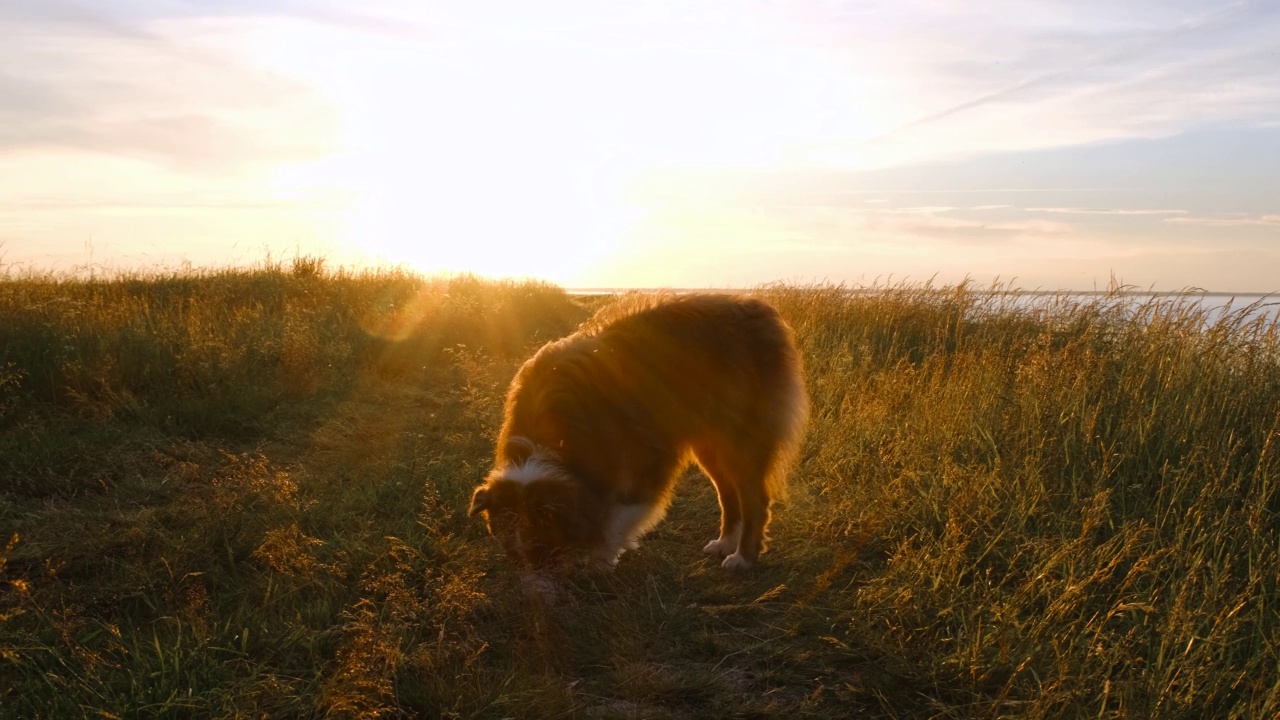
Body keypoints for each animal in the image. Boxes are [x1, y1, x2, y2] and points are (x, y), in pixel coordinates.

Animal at [471, 292, 808, 576]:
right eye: (510, 550)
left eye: (542, 545)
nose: (537, 592)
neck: (548, 442)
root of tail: (757, 307)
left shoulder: (648, 458)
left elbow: (617, 518)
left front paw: (601, 560)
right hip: (709, 444)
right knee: (727, 492)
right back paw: (725, 542)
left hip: (738, 440)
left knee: (755, 499)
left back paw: (743, 557)